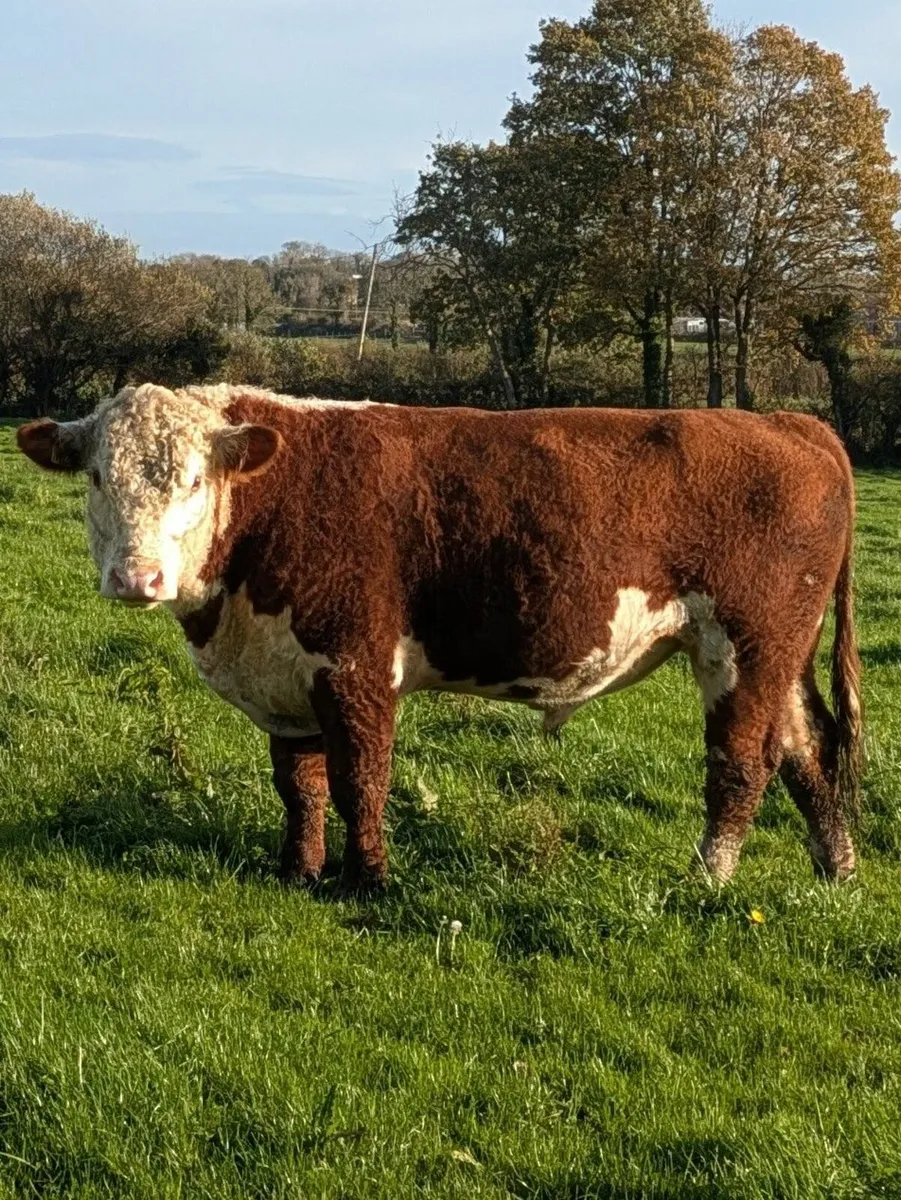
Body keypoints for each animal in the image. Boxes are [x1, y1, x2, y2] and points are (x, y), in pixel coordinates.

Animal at [17, 383, 861, 893]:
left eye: (194, 480)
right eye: (96, 476)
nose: (137, 577)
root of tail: (788, 422)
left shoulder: (355, 661)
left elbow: (361, 776)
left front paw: (367, 880)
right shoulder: (287, 673)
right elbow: (300, 785)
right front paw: (298, 871)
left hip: (743, 644)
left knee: (741, 762)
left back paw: (707, 877)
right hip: (781, 652)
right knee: (809, 752)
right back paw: (837, 871)